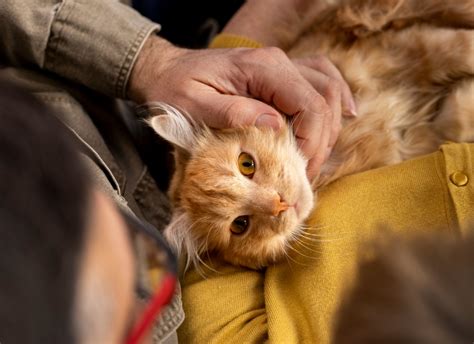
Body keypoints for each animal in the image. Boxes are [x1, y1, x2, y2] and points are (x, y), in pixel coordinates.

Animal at [150, 0, 472, 268]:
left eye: (246, 164)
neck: (346, 143)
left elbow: (461, 47)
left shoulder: (401, 44)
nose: (279, 204)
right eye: (240, 225)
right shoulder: (419, 132)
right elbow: (458, 115)